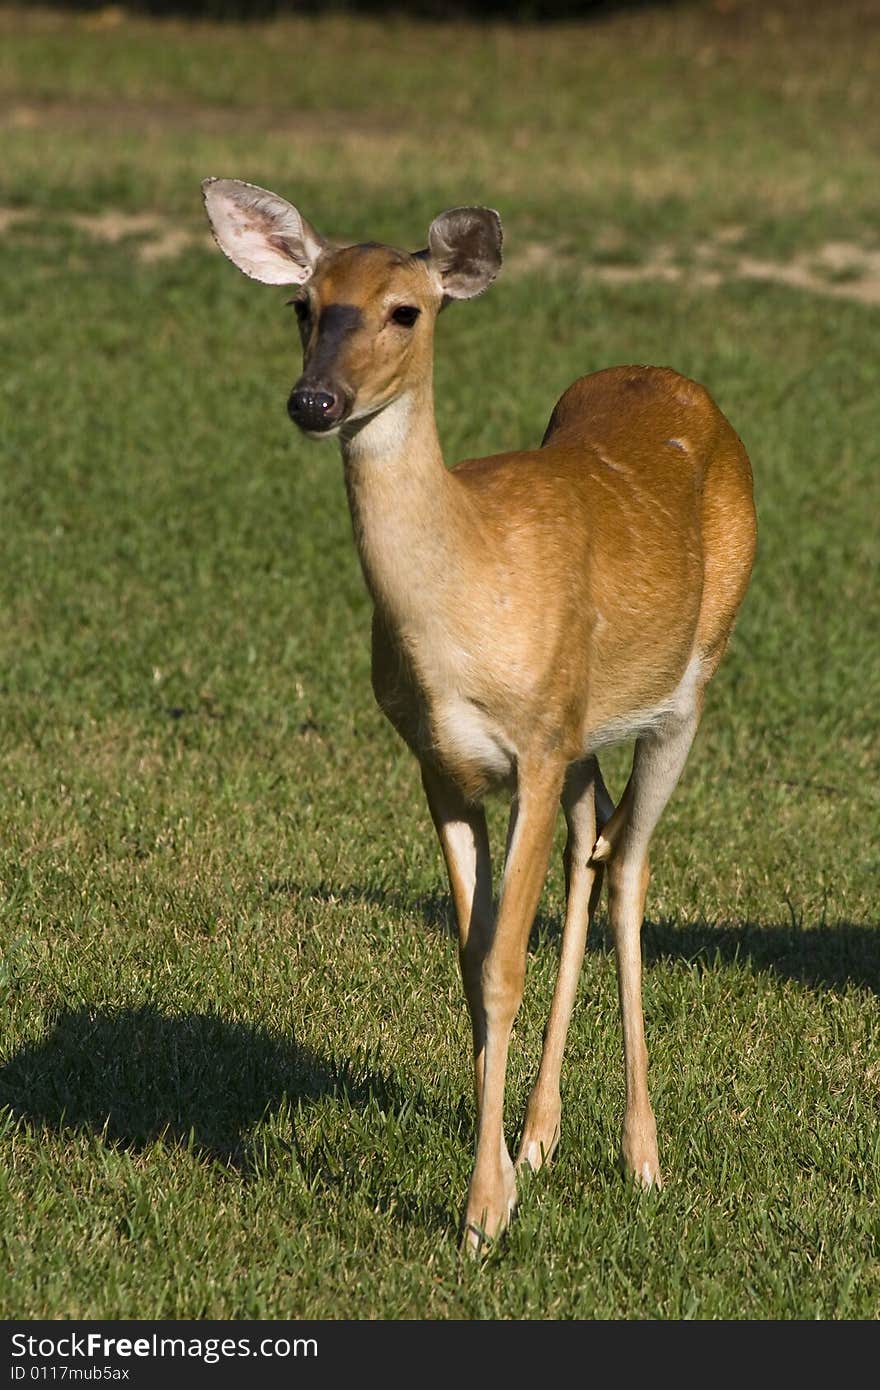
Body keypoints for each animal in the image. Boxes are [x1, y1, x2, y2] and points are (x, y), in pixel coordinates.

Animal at [200, 179, 756, 1256]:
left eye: (404, 311)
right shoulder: (442, 762)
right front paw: (500, 1164)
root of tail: (680, 383)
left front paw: (482, 1215)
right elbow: (469, 964)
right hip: (584, 731)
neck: (465, 597)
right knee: (593, 844)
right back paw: (543, 1133)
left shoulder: (534, 742)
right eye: (302, 304)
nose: (314, 401)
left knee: (629, 866)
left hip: (687, 687)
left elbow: (501, 966)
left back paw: (642, 1155)